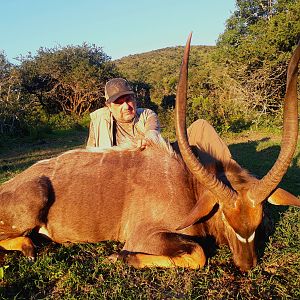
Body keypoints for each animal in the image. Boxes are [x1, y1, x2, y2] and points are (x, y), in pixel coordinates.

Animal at [0, 35, 298, 272]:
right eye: (225, 217)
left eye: (259, 220)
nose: (247, 265)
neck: (186, 185)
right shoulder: (143, 237)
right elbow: (198, 254)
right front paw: (118, 257)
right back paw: (30, 247)